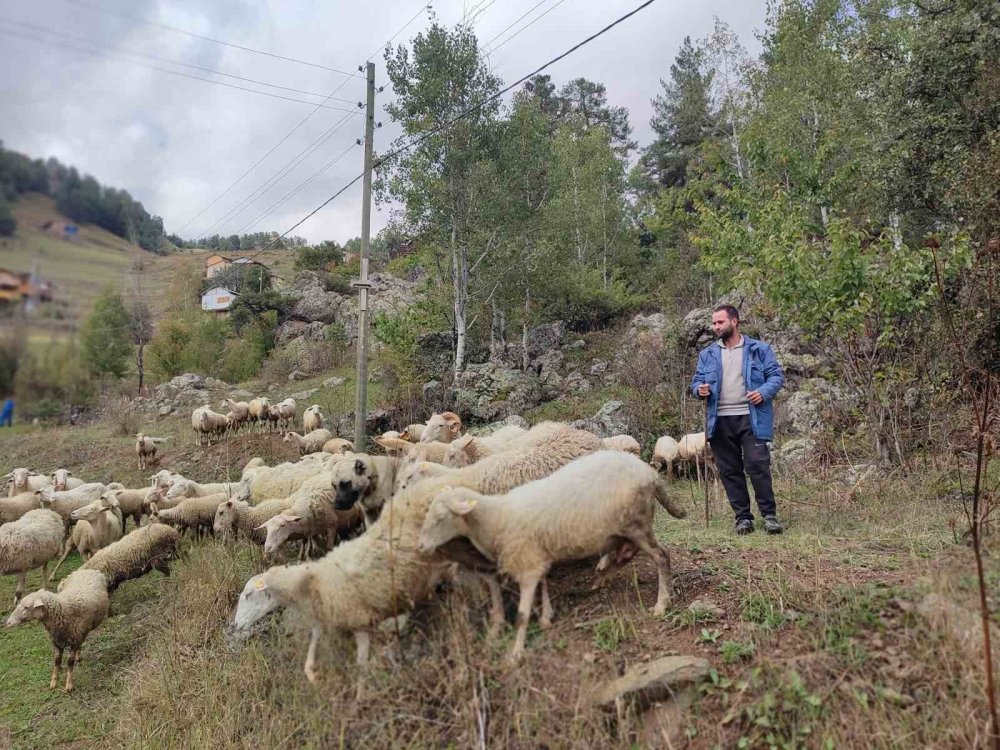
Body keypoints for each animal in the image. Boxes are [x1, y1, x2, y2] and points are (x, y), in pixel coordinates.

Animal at [416, 450, 688, 660]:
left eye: (440, 518)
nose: (421, 546)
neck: (498, 518)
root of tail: (650, 473)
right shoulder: (537, 557)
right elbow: (544, 583)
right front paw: (547, 617)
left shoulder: (527, 564)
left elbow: (523, 615)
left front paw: (516, 653)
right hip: (624, 528)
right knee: (627, 552)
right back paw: (602, 576)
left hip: (637, 523)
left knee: (661, 556)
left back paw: (661, 603)